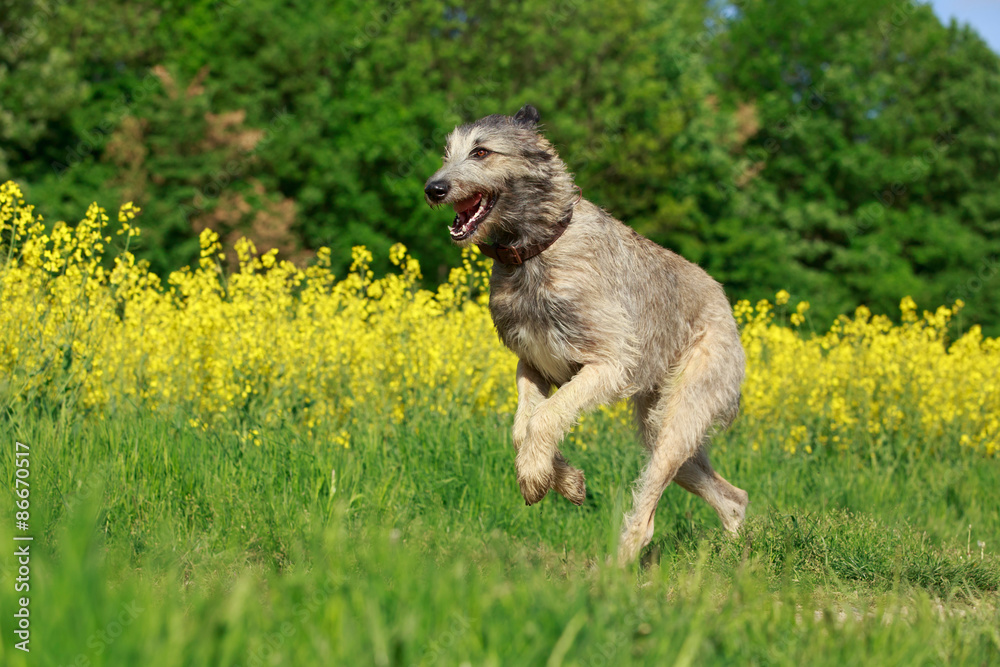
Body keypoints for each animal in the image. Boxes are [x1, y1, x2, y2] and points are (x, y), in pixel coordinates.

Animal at [424, 105, 752, 564]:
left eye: (482, 152)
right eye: (447, 153)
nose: (432, 189)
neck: (535, 250)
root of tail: (726, 304)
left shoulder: (609, 362)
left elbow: (545, 417)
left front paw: (535, 475)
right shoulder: (531, 364)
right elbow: (524, 426)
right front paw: (560, 478)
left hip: (684, 409)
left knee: (649, 507)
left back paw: (617, 568)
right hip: (660, 423)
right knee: (733, 496)